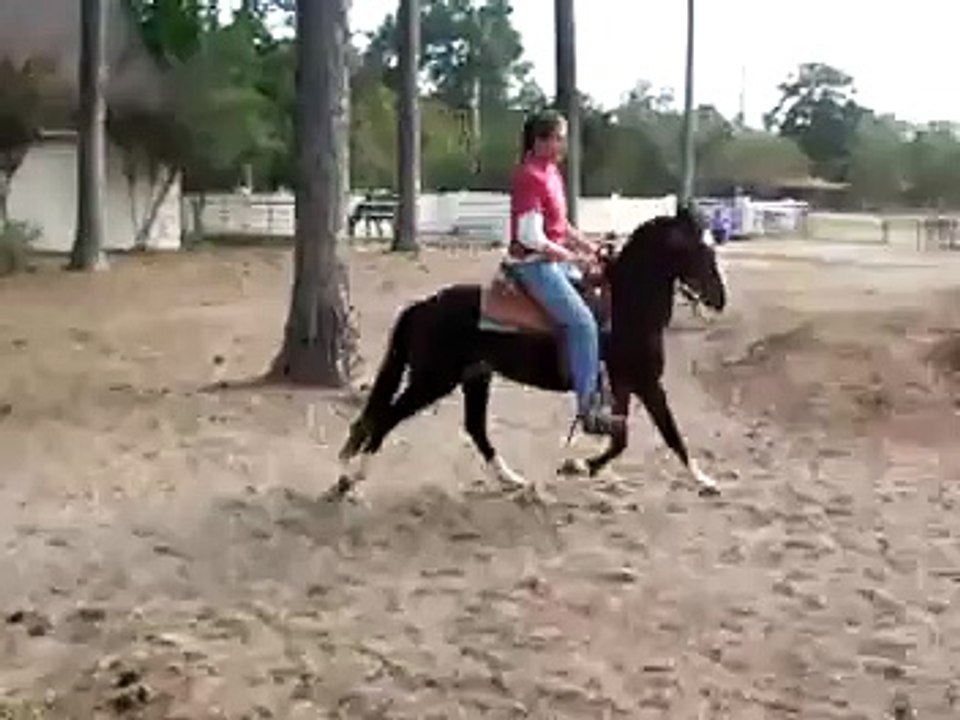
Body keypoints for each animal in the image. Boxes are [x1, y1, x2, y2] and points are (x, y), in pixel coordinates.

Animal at [336, 205, 728, 498]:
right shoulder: (640, 382)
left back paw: (511, 478)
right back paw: (352, 478)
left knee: (474, 428)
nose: (719, 299)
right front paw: (581, 466)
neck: (626, 309)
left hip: (475, 377)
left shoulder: (632, 384)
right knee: (387, 418)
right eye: (700, 249)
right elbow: (652, 435)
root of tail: (423, 306)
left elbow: (642, 437)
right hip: (433, 380)